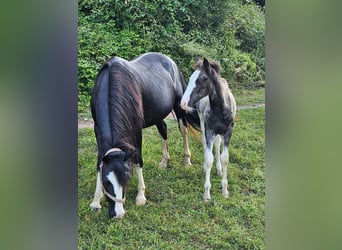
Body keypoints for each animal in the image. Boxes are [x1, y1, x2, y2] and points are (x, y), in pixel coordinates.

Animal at [89, 51, 194, 218]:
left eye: (127, 178)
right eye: (106, 182)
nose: (118, 214)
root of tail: (169, 60)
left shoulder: (136, 130)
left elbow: (138, 159)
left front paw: (140, 196)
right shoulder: (97, 130)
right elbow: (99, 162)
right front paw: (96, 201)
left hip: (179, 106)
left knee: (183, 130)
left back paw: (187, 159)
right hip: (157, 114)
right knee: (163, 130)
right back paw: (164, 161)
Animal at [182, 58, 235, 201]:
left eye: (203, 79)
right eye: (190, 78)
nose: (183, 103)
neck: (220, 109)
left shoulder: (228, 132)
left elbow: (225, 158)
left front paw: (225, 191)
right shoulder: (209, 130)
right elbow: (209, 157)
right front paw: (206, 193)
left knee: (217, 144)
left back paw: (219, 169)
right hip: (202, 122)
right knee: (205, 143)